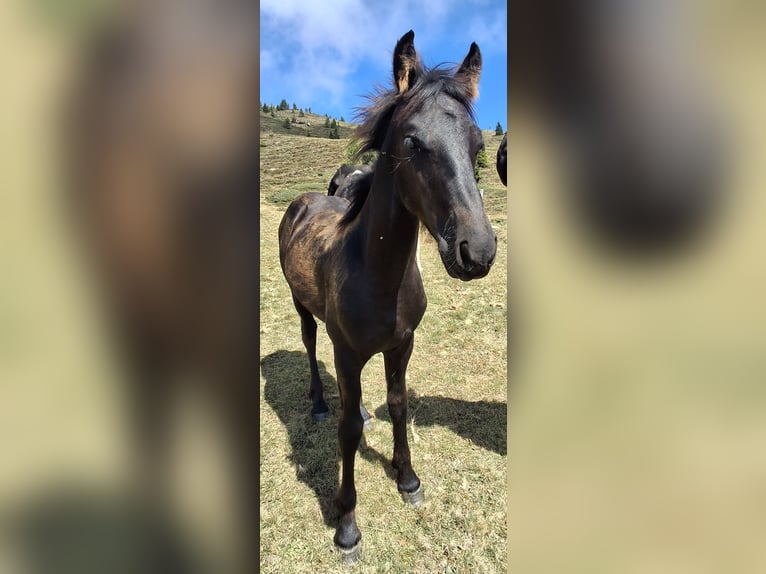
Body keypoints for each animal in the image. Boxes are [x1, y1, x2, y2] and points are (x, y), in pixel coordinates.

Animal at [278, 30, 496, 563]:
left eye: (478, 144)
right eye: (413, 142)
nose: (477, 251)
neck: (379, 274)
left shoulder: (402, 345)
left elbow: (397, 405)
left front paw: (408, 479)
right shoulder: (348, 353)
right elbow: (347, 434)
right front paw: (346, 525)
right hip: (304, 311)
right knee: (311, 347)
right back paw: (319, 403)